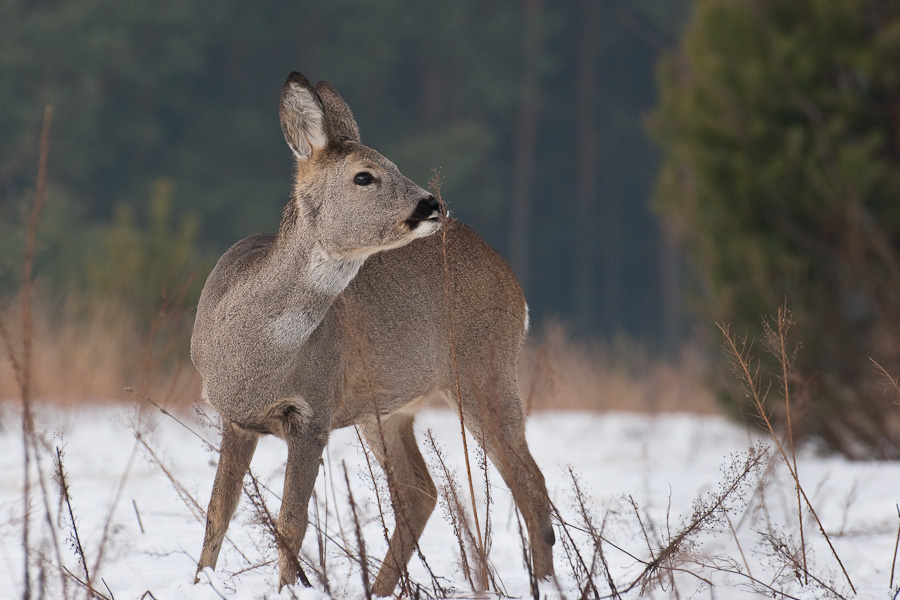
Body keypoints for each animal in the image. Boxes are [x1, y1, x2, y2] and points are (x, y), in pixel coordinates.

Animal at [193, 71, 552, 596]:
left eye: (395, 165)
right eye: (364, 175)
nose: (432, 204)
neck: (252, 350)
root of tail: (513, 281)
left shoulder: (314, 412)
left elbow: (290, 522)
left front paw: (287, 587)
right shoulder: (233, 417)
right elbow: (217, 513)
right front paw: (200, 579)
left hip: (483, 366)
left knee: (529, 482)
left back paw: (545, 582)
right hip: (387, 407)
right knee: (421, 489)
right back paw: (379, 588)